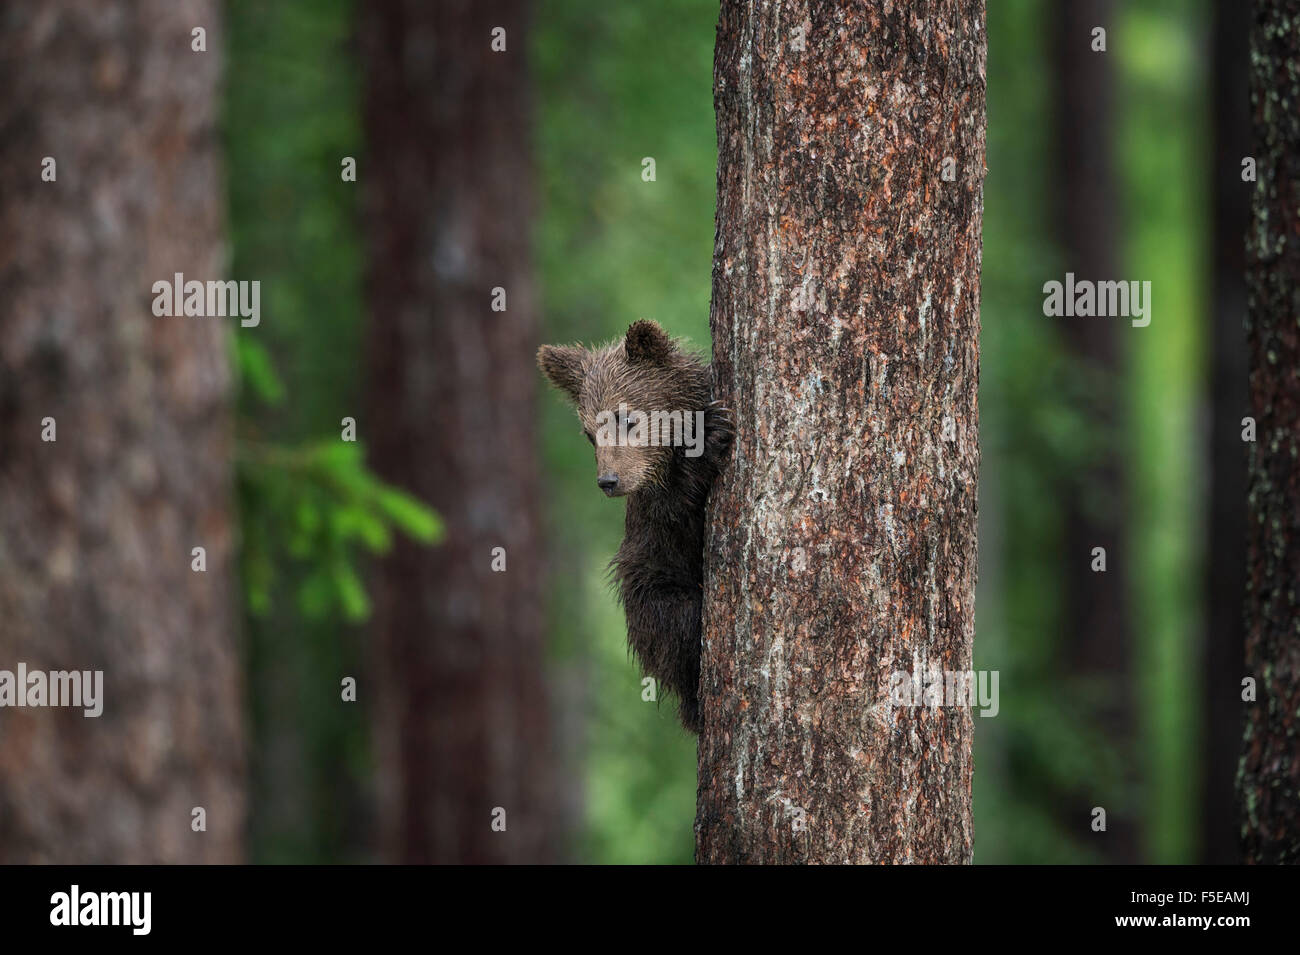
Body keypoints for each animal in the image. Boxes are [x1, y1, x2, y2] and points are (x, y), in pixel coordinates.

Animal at [538, 320, 733, 732]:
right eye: (589, 433)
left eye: (627, 419)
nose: (608, 481)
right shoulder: (655, 514)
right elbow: (675, 510)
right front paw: (712, 437)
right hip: (652, 583)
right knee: (679, 624)